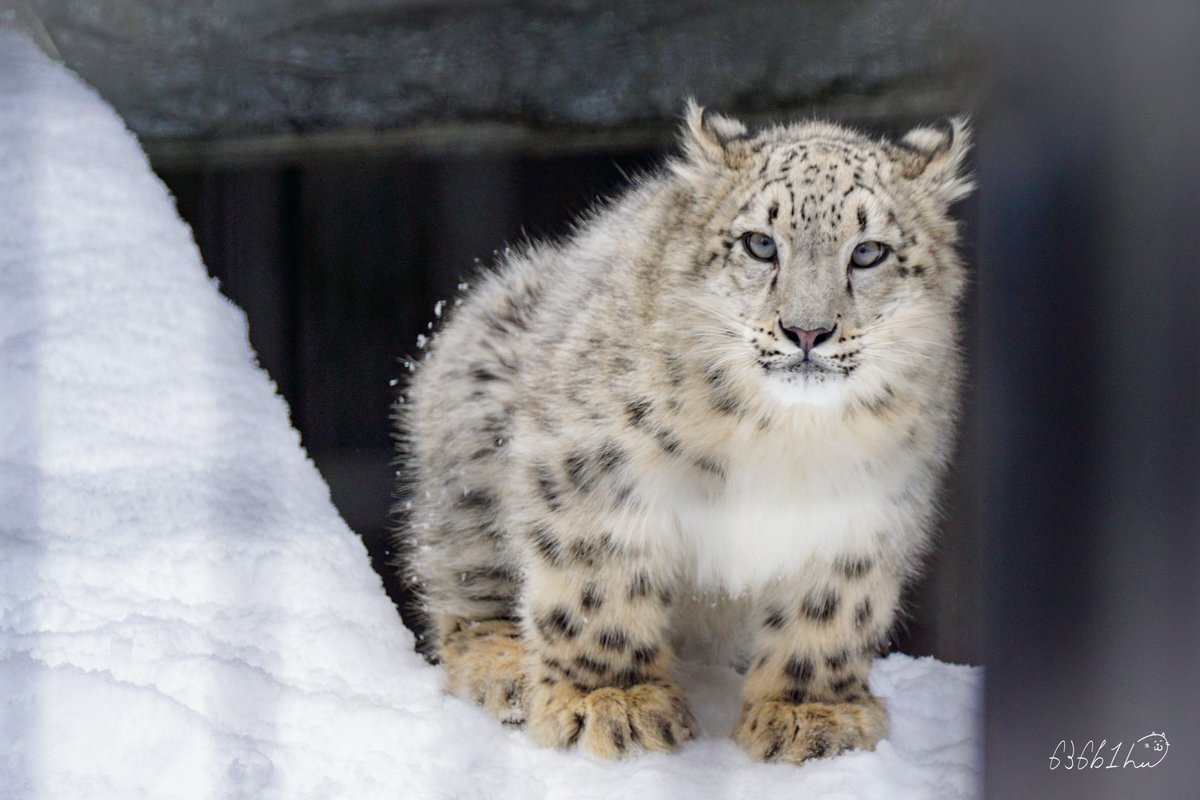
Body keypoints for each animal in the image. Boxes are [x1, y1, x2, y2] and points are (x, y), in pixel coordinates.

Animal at [392, 101, 973, 764]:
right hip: (476, 420)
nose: (807, 331)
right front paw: (611, 702)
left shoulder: (865, 510)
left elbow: (831, 610)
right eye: (760, 244)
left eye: (869, 252)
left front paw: (810, 713)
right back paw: (508, 669)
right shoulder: (594, 472)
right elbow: (596, 589)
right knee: (463, 588)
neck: (784, 438)